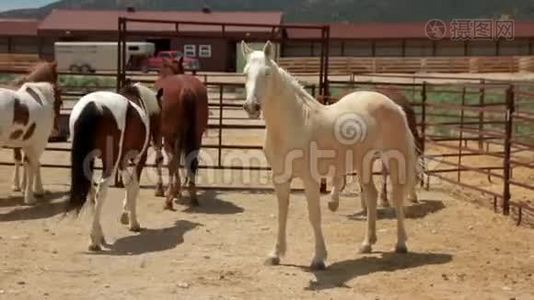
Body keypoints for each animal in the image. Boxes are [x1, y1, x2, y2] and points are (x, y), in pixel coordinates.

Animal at [67, 80, 157, 251]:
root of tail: (93, 106)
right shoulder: (138, 158)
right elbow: (134, 186)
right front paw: (133, 222)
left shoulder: (122, 161)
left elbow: (128, 183)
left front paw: (126, 215)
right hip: (110, 161)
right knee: (101, 190)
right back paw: (95, 241)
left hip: (89, 161)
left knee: (91, 190)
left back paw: (99, 236)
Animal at [155, 56, 209, 211]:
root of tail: (186, 89)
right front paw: (177, 190)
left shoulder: (160, 136)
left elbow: (160, 159)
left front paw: (162, 189)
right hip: (196, 135)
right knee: (192, 162)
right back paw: (193, 197)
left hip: (172, 136)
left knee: (172, 163)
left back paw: (168, 200)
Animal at [241, 40, 420, 270]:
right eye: (245, 73)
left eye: (267, 72)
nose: (251, 107)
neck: (295, 122)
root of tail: (395, 105)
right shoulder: (280, 179)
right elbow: (282, 215)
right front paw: (275, 254)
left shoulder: (310, 180)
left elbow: (314, 215)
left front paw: (318, 258)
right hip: (364, 163)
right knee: (371, 196)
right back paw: (367, 244)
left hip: (394, 160)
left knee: (397, 199)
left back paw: (401, 244)